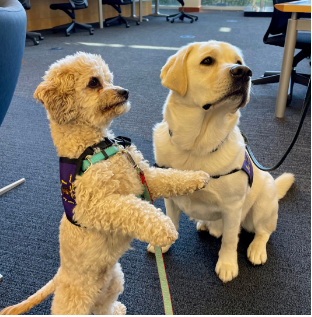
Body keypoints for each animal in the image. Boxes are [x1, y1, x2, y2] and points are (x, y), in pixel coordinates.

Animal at [1, 51, 210, 314]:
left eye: (109, 79)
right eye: (93, 82)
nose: (125, 91)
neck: (95, 147)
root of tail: (60, 274)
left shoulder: (143, 177)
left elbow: (169, 177)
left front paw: (198, 177)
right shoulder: (97, 206)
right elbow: (134, 209)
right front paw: (165, 229)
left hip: (113, 281)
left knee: (104, 308)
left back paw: (117, 310)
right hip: (74, 300)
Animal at [149, 41, 294, 282]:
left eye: (239, 62)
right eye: (207, 61)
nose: (244, 72)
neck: (197, 148)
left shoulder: (233, 207)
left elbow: (230, 239)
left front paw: (227, 265)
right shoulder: (171, 197)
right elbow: (171, 221)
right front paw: (163, 244)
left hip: (263, 205)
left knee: (263, 231)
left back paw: (256, 249)